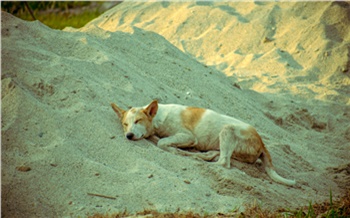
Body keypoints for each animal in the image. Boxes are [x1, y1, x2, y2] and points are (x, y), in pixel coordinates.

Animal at [111, 100, 296, 186]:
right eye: (125, 124)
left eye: (138, 121)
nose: (128, 135)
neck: (159, 117)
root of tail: (261, 142)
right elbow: (159, 139)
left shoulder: (188, 136)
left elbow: (162, 142)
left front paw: (174, 148)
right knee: (220, 156)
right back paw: (201, 155)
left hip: (227, 129)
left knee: (223, 163)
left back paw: (199, 160)